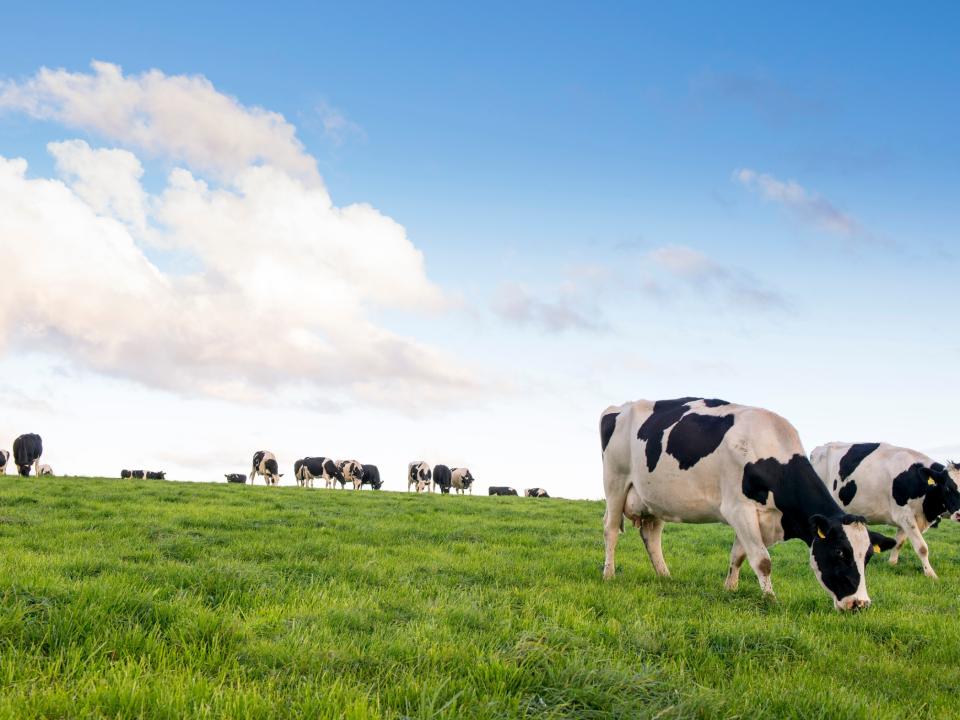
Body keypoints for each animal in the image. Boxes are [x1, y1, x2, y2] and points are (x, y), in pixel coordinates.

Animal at [604, 396, 896, 612]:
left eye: (868, 556)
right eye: (839, 552)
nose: (860, 604)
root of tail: (620, 407)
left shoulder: (757, 518)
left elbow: (738, 555)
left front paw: (730, 588)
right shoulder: (738, 510)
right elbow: (762, 560)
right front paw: (770, 599)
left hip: (655, 499)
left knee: (652, 536)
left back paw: (665, 576)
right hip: (615, 481)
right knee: (610, 530)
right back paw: (609, 574)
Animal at [808, 442, 960, 584]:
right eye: (948, 487)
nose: (959, 514)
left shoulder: (905, 520)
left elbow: (898, 543)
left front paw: (892, 563)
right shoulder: (905, 515)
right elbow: (922, 548)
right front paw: (931, 574)